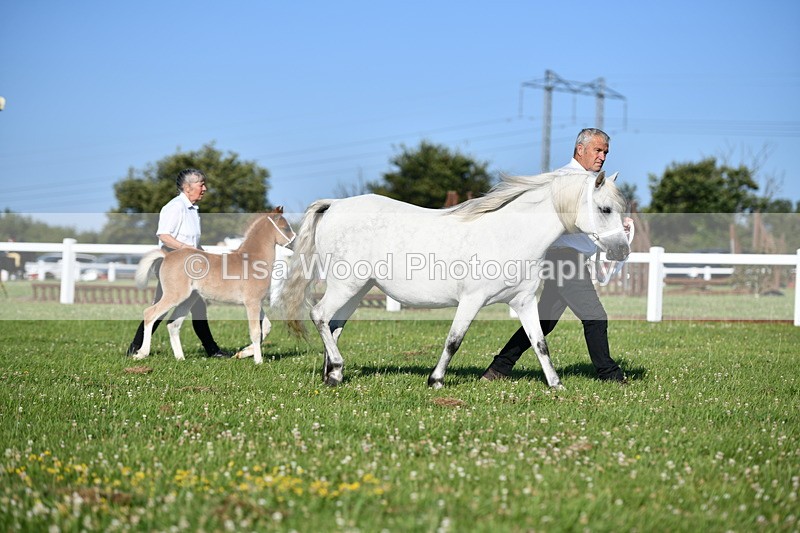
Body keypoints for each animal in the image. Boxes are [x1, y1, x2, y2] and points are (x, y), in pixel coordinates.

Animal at [131, 208, 296, 365]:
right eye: (286, 227)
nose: (295, 243)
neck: (251, 260)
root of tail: (167, 256)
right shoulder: (252, 302)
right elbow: (255, 331)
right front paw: (258, 361)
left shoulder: (257, 302)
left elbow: (266, 327)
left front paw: (242, 353)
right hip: (175, 296)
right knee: (150, 314)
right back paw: (141, 353)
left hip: (188, 299)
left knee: (173, 324)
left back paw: (180, 358)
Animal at [281, 170, 630, 389]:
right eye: (605, 208)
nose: (622, 250)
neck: (509, 235)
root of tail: (335, 204)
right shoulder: (472, 300)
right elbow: (454, 340)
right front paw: (435, 381)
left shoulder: (524, 302)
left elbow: (539, 342)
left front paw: (556, 385)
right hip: (347, 285)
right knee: (319, 315)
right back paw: (337, 370)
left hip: (357, 289)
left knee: (334, 325)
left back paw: (331, 376)